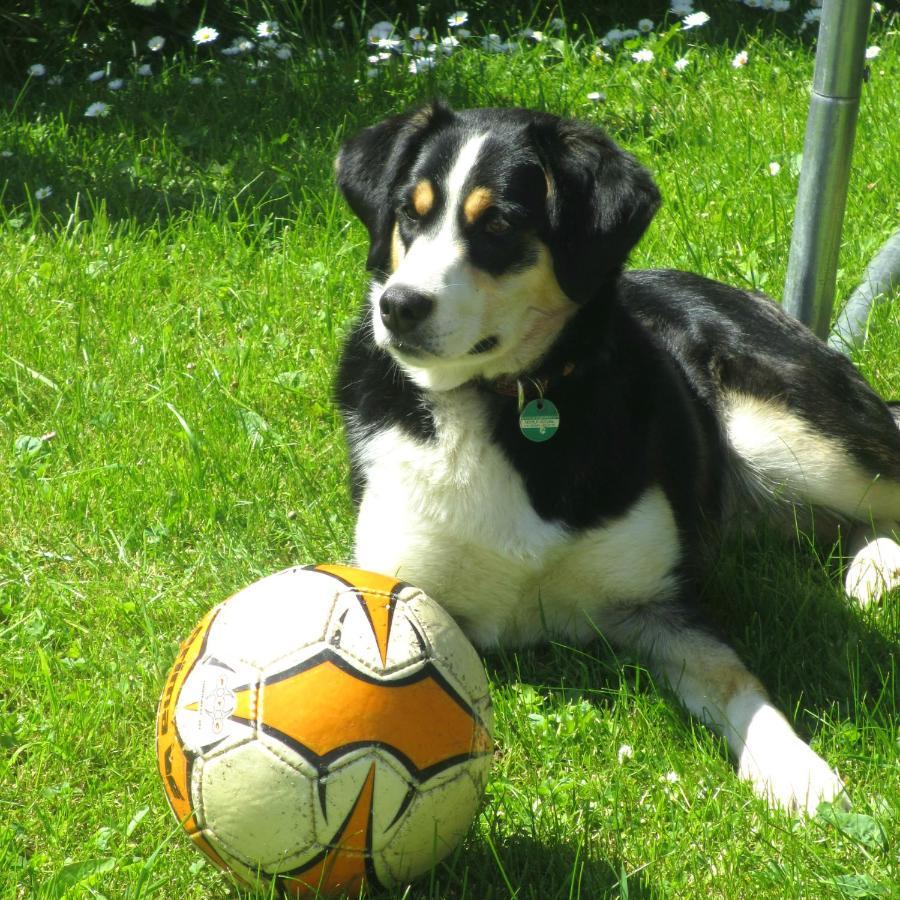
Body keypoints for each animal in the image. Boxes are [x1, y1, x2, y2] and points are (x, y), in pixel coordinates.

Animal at [332, 103, 900, 816]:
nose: (398, 307)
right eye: (410, 212)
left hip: (785, 435)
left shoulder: (657, 601)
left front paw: (796, 769)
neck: (510, 406)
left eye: (499, 224)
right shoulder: (403, 590)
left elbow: (730, 673)